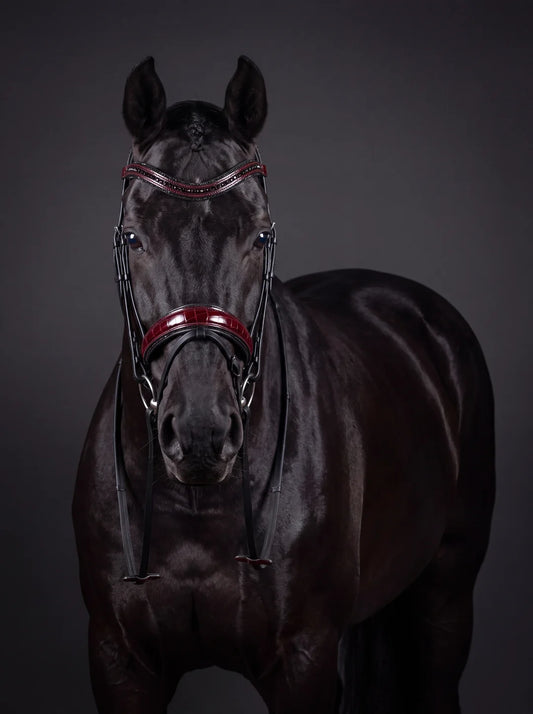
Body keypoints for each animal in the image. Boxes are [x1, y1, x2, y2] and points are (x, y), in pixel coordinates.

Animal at [73, 56, 495, 714]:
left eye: (260, 234)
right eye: (134, 235)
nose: (200, 432)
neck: (196, 504)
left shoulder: (303, 660)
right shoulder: (121, 662)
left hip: (446, 593)